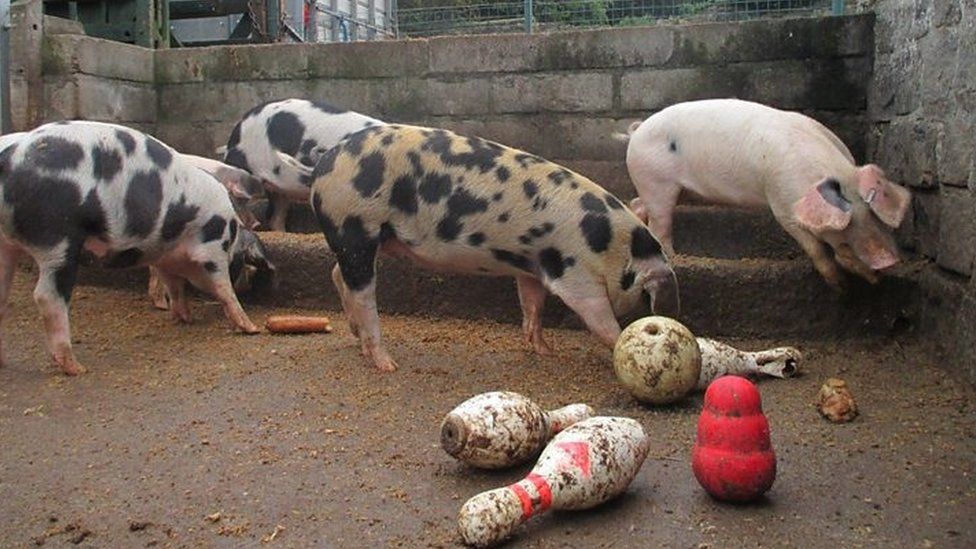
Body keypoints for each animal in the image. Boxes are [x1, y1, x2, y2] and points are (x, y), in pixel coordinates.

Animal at [0, 121, 264, 374]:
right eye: (244, 263)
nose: (257, 223)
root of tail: (8, 158)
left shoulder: (166, 257)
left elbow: (174, 286)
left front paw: (183, 317)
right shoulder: (211, 249)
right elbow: (222, 287)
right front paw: (251, 328)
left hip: (7, 244)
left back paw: (5, 363)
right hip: (58, 236)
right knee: (47, 296)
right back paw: (77, 368)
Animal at [280, 125, 680, 372]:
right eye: (647, 297)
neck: (612, 246)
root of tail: (319, 168)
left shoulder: (531, 264)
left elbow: (532, 305)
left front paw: (544, 350)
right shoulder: (574, 273)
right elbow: (598, 318)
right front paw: (619, 343)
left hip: (368, 237)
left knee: (339, 274)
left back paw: (357, 340)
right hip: (355, 225)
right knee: (362, 292)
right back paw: (387, 363)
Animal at [620, 99, 912, 286]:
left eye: (875, 216)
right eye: (843, 232)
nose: (886, 261)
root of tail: (638, 130)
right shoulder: (782, 204)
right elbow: (814, 247)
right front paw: (838, 285)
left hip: (674, 189)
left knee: (638, 204)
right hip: (656, 182)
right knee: (659, 225)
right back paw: (673, 257)